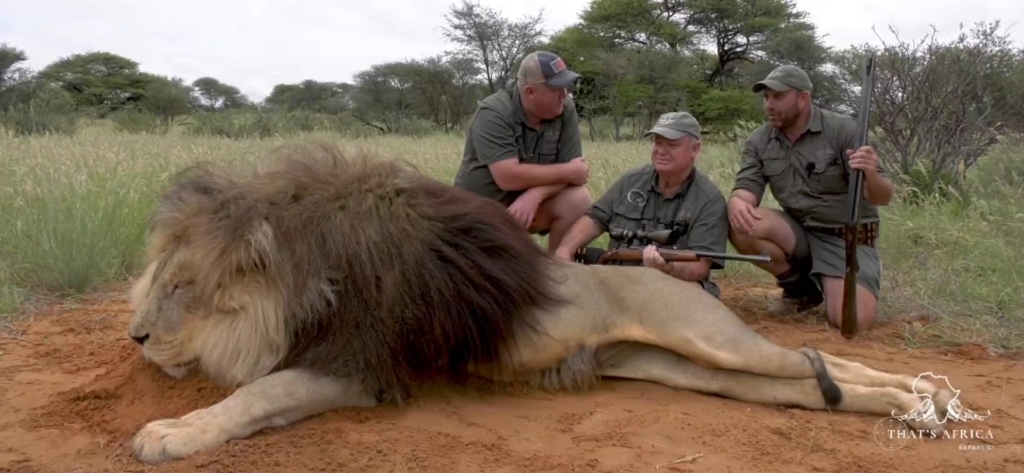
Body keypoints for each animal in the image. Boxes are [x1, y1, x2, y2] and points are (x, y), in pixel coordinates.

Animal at [123, 142, 954, 462]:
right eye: (154, 280)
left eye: (180, 287)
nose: (134, 338)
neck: (307, 275)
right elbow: (257, 392)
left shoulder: (361, 366)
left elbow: (256, 394)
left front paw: (169, 431)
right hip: (684, 367)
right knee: (813, 381)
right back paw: (919, 403)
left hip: (707, 337)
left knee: (810, 359)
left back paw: (922, 403)